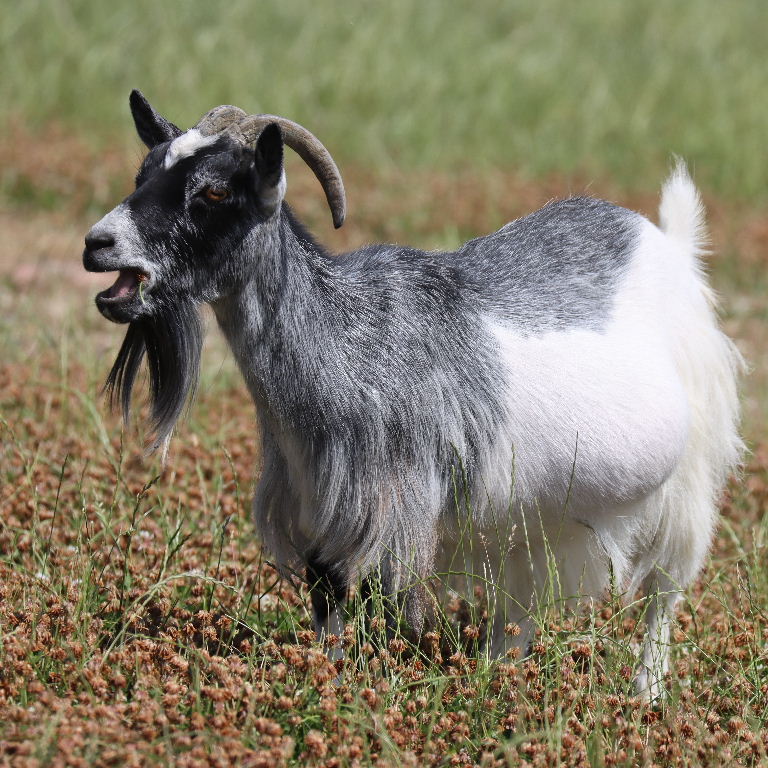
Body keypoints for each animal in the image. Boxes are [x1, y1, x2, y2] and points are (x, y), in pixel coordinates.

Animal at [83, 91, 742, 700]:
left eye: (217, 192)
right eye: (144, 173)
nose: (97, 243)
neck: (346, 341)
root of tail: (667, 243)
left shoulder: (392, 510)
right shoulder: (318, 510)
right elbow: (327, 602)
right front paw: (322, 679)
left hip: (689, 479)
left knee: (665, 591)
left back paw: (645, 693)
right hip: (536, 513)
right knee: (523, 600)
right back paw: (494, 675)